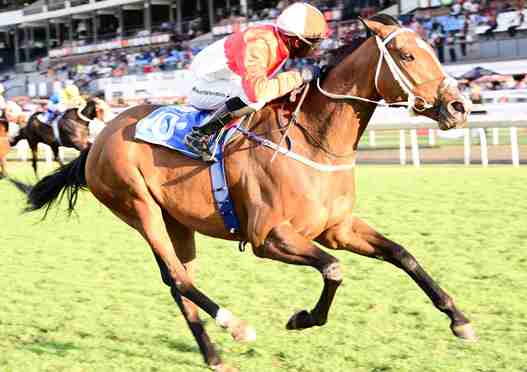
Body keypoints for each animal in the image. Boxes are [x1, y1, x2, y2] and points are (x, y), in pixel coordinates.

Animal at [23, 16, 474, 370]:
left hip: (176, 220)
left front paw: (459, 319)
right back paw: (235, 325)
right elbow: (333, 269)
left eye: (432, 50)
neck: (312, 140)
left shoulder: (338, 228)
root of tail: (98, 141)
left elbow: (403, 254)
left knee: (178, 279)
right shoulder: (268, 236)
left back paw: (213, 356)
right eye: (407, 56)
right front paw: (302, 318)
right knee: (178, 277)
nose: (458, 107)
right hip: (138, 206)